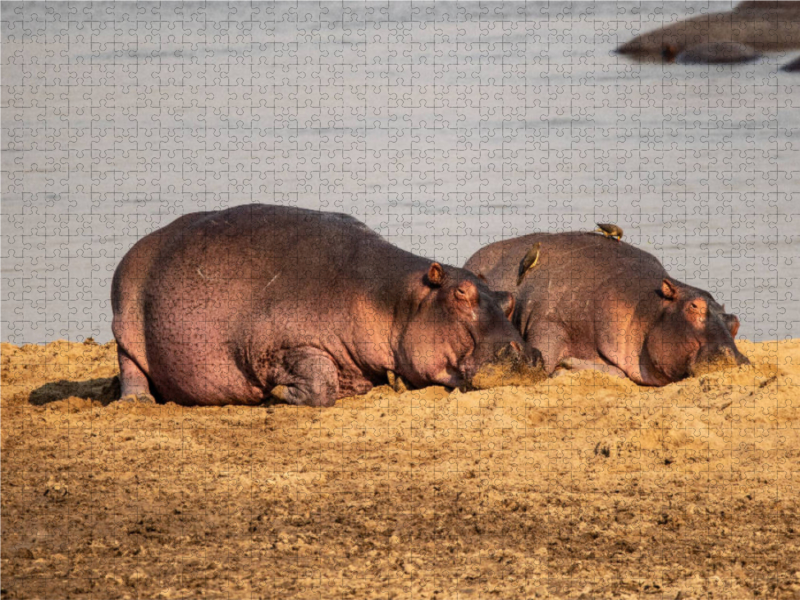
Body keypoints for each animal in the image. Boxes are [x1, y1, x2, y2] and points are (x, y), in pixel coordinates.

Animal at [108, 204, 532, 406]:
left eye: (508, 299)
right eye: (461, 294)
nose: (528, 357)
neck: (396, 298)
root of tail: (140, 244)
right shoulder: (284, 346)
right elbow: (321, 384)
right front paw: (277, 395)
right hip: (125, 325)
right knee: (131, 367)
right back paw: (138, 401)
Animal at [462, 232, 752, 386]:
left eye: (735, 321)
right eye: (694, 306)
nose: (736, 359)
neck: (647, 306)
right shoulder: (549, 323)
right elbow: (544, 363)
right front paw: (562, 367)